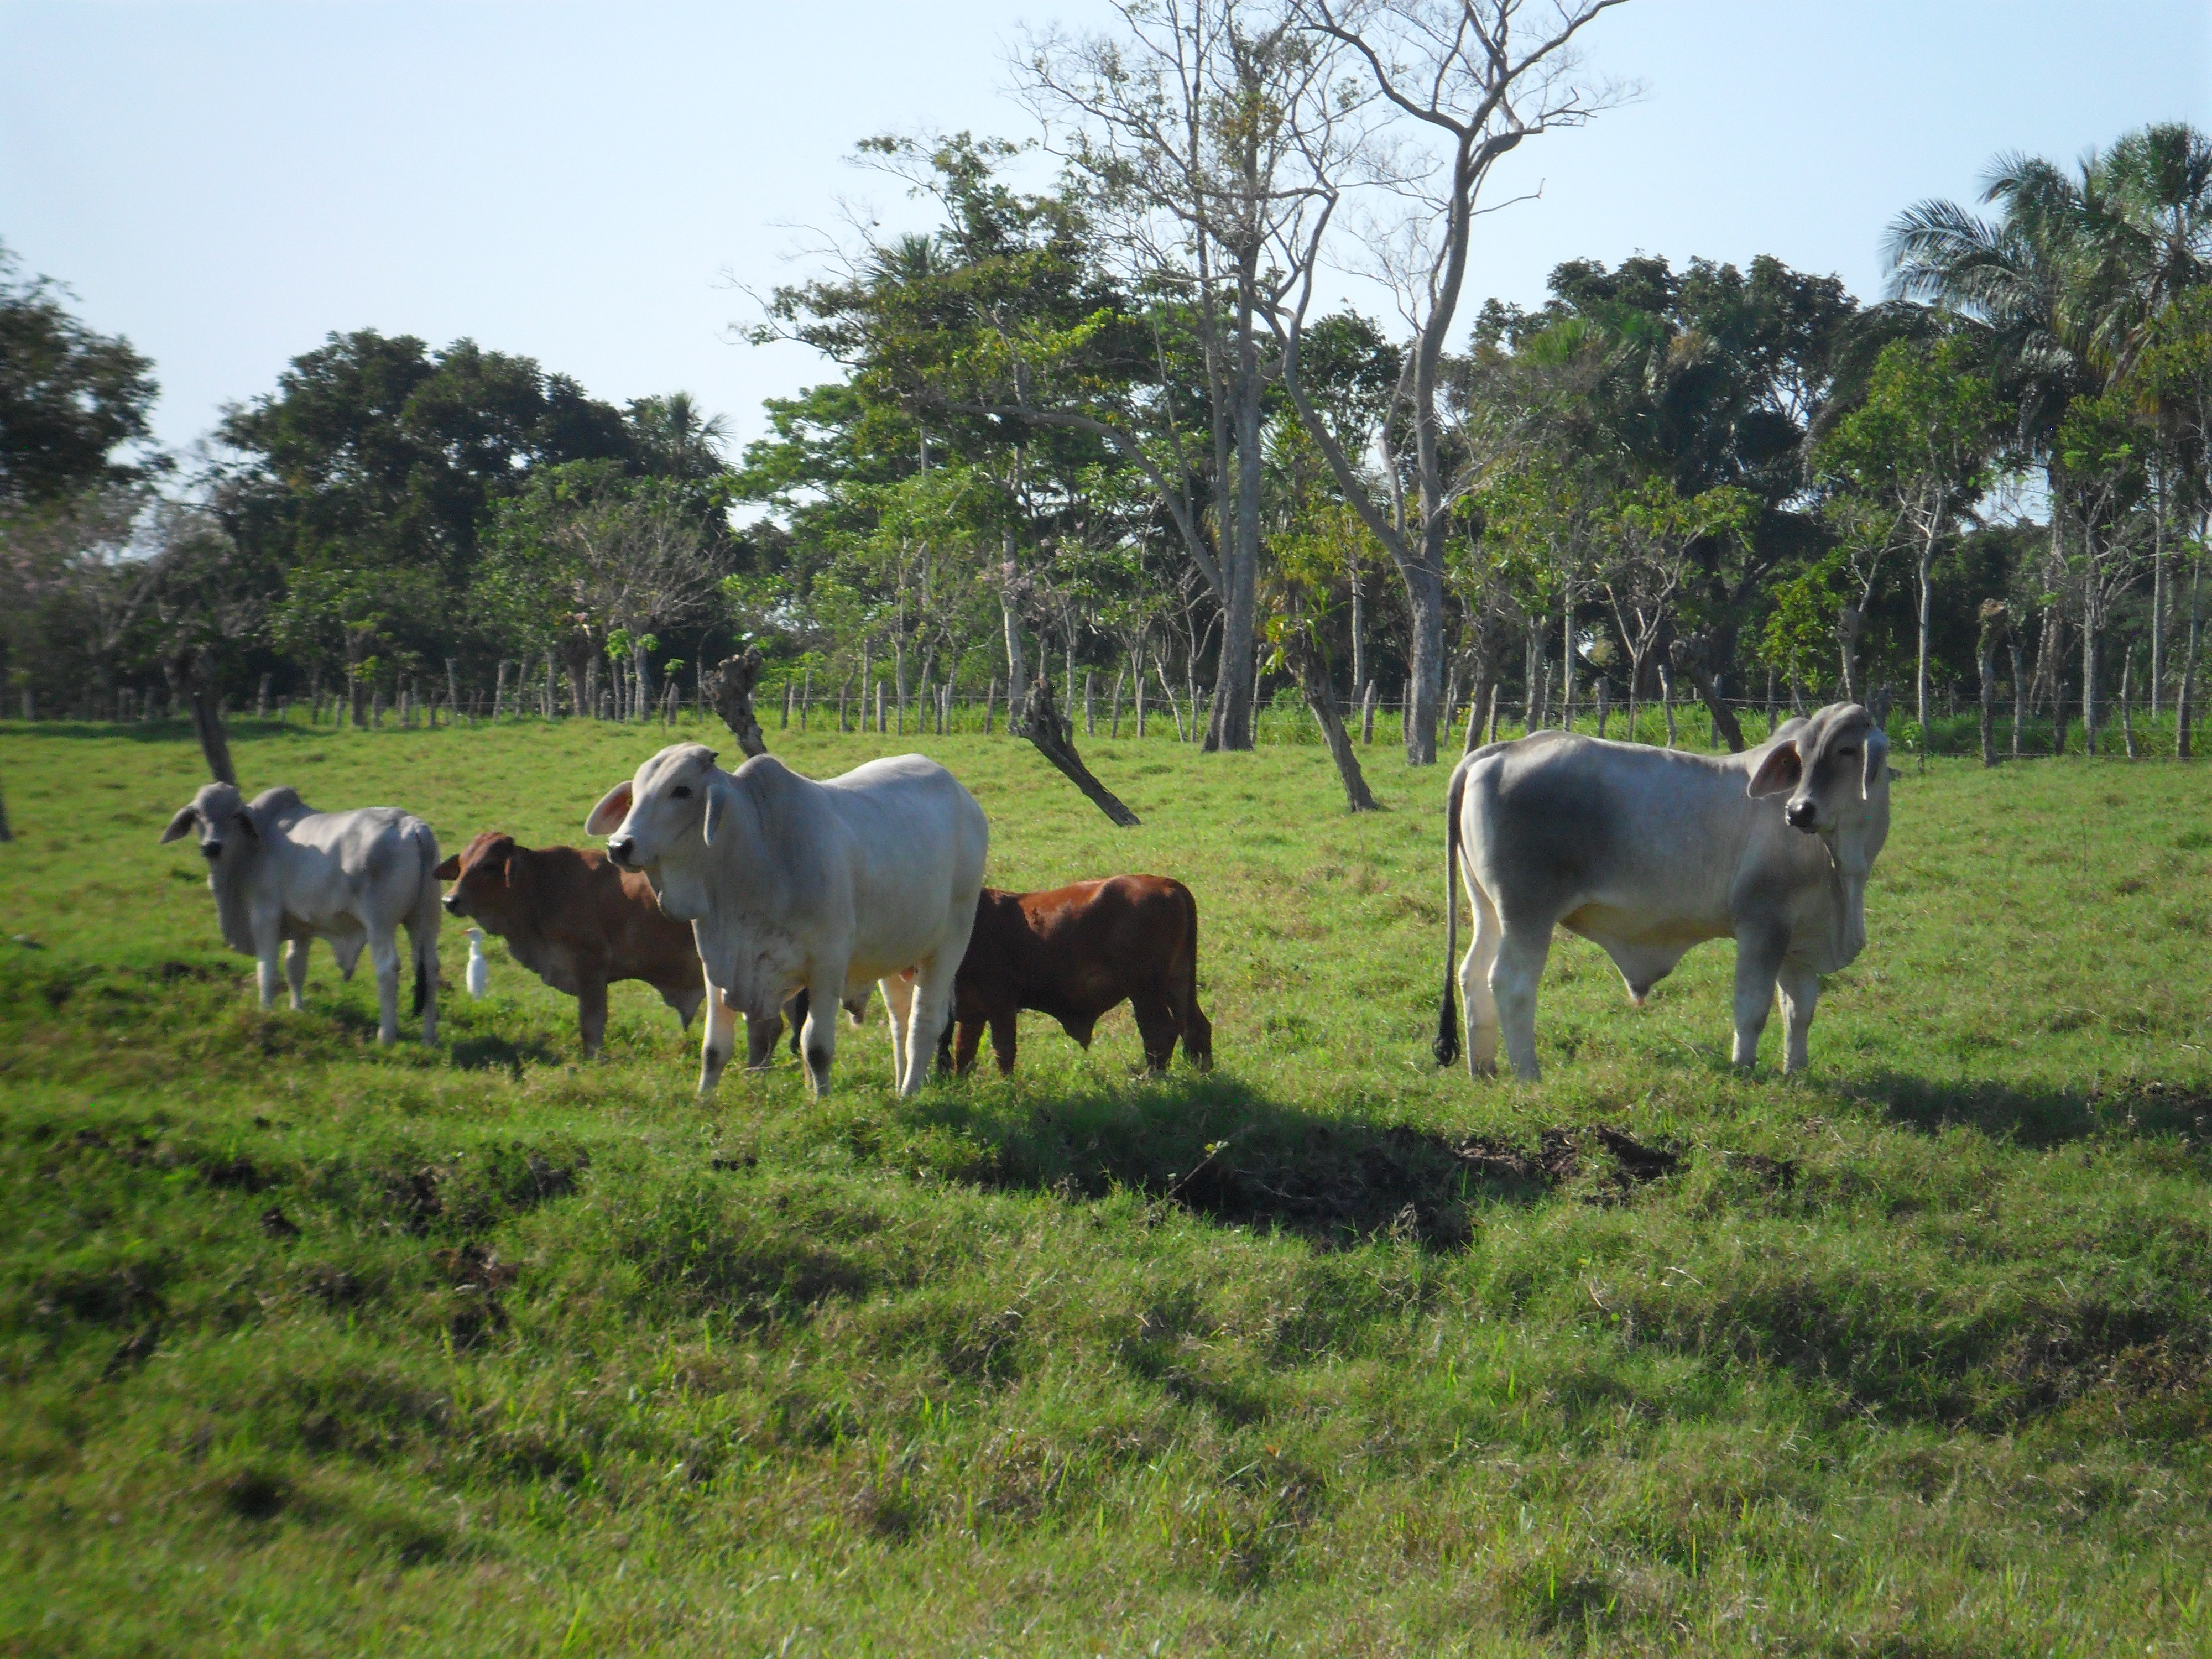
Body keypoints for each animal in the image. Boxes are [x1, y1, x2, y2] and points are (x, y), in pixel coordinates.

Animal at [161, 787, 442, 1044]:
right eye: (198, 814)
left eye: (235, 815)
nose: (211, 847)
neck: (252, 848)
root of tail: (411, 825)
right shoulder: (302, 927)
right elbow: (295, 967)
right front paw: (297, 1010)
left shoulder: (265, 913)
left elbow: (267, 969)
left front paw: (265, 1012)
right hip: (425, 922)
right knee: (429, 967)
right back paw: (429, 1038)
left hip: (379, 924)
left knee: (387, 968)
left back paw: (386, 1037)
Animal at [584, 748, 991, 1097]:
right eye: (635, 792)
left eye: (681, 790)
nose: (619, 846)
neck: (757, 856)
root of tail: (964, 797)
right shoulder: (718, 964)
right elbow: (714, 1048)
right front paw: (703, 1100)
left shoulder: (828, 965)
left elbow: (816, 1047)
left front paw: (821, 1101)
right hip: (894, 954)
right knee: (900, 1021)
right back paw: (900, 1086)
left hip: (949, 942)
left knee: (925, 1023)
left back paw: (909, 1094)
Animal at [933, 876, 1212, 1084]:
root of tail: (1168, 884)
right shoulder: (972, 1010)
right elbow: (964, 1051)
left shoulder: (1000, 1004)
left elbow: (1003, 1050)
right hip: (1177, 982)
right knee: (1195, 1026)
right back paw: (1203, 1073)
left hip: (1145, 990)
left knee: (1160, 1031)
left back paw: (1151, 1078)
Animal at [1442, 699, 1893, 1079]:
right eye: (1800, 756)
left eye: (1847, 751)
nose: (1798, 810)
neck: (1843, 868)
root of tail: (1505, 749)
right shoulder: (1762, 925)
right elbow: (1752, 1008)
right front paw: (1745, 1069)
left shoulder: (1798, 937)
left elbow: (1799, 1010)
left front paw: (1795, 1072)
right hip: (1527, 911)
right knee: (1510, 981)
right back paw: (1527, 1074)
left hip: (1489, 907)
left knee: (1472, 973)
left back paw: (1483, 1069)